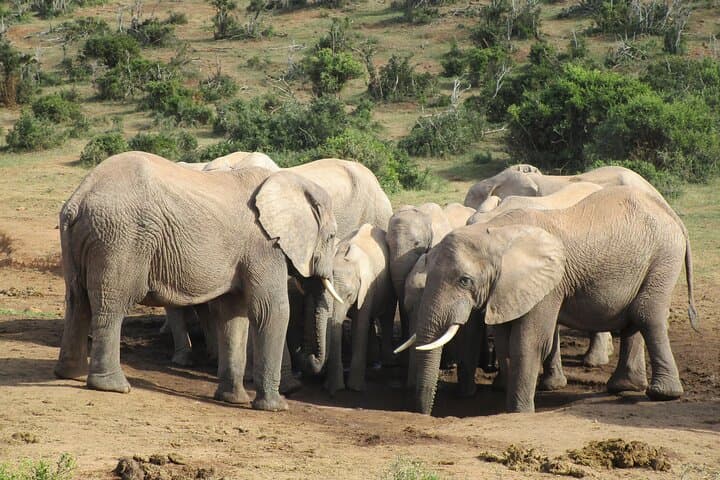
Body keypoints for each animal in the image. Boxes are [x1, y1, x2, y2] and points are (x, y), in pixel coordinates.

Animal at [54, 151, 340, 411]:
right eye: (332, 237)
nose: (307, 360)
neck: (288, 180)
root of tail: (79, 197)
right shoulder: (264, 247)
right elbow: (270, 311)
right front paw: (276, 407)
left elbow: (233, 315)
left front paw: (233, 400)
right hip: (119, 238)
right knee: (111, 305)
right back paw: (112, 386)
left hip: (88, 238)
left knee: (77, 300)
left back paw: (70, 374)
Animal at [321, 224, 395, 394]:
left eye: (349, 295)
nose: (333, 393)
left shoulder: (368, 286)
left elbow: (361, 322)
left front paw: (355, 388)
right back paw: (372, 360)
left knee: (386, 315)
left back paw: (387, 362)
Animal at [406, 186, 698, 414]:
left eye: (465, 281)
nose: (423, 414)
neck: (496, 233)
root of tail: (669, 212)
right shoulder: (506, 288)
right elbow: (505, 340)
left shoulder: (548, 284)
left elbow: (528, 342)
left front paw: (519, 412)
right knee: (633, 318)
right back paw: (623, 387)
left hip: (664, 257)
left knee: (647, 314)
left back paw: (662, 394)